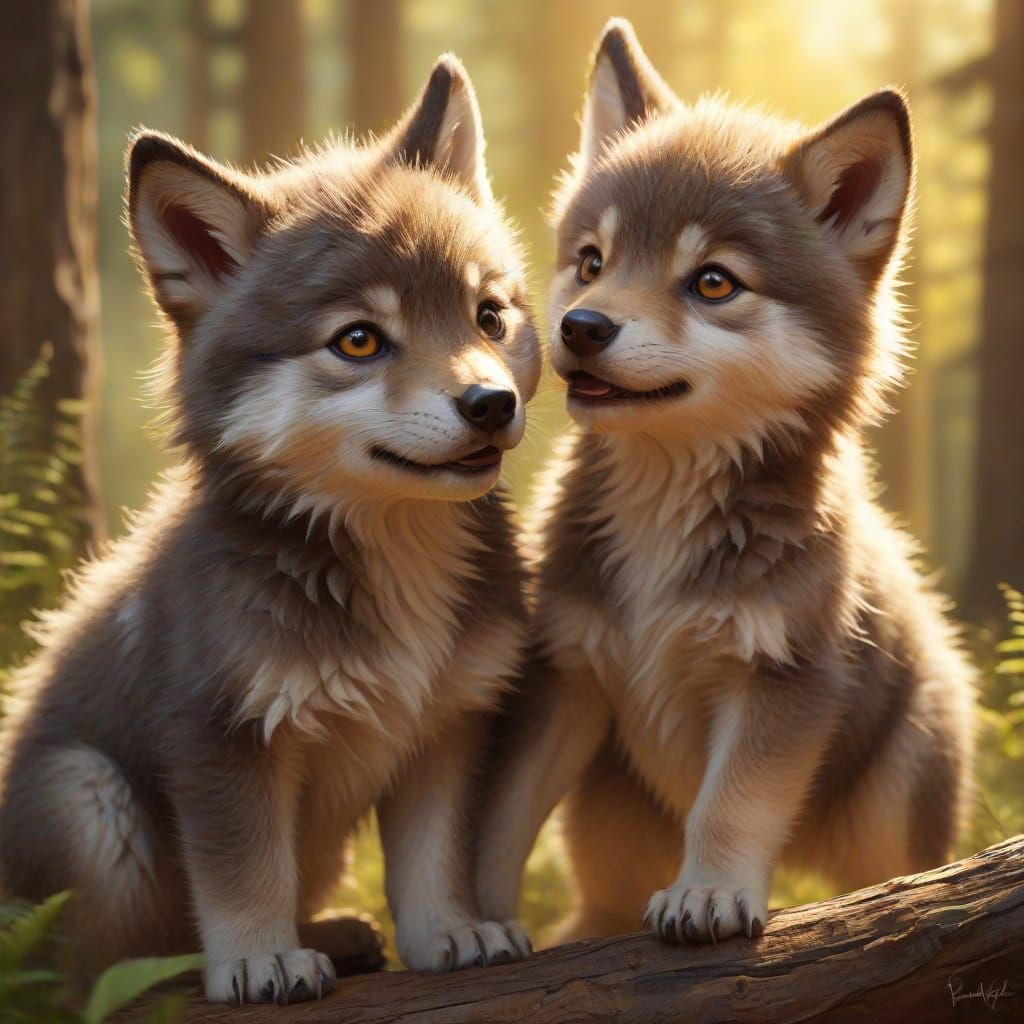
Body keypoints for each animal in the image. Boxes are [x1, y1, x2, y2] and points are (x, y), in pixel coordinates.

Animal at [0, 56, 539, 1002]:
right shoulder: (224, 737)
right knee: (91, 976)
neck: (388, 557)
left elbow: (430, 863)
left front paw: (452, 935)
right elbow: (245, 874)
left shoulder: (446, 727)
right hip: (90, 797)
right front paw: (259, 959)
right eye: (358, 341)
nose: (491, 403)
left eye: (489, 316)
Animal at [474, 19, 975, 948]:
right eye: (591, 262)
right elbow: (498, 817)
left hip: (893, 794)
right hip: (605, 818)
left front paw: (708, 894)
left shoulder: (780, 679)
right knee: (601, 900)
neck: (666, 506)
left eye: (713, 281)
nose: (582, 327)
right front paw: (469, 924)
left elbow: (730, 806)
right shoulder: (565, 671)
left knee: (897, 881)